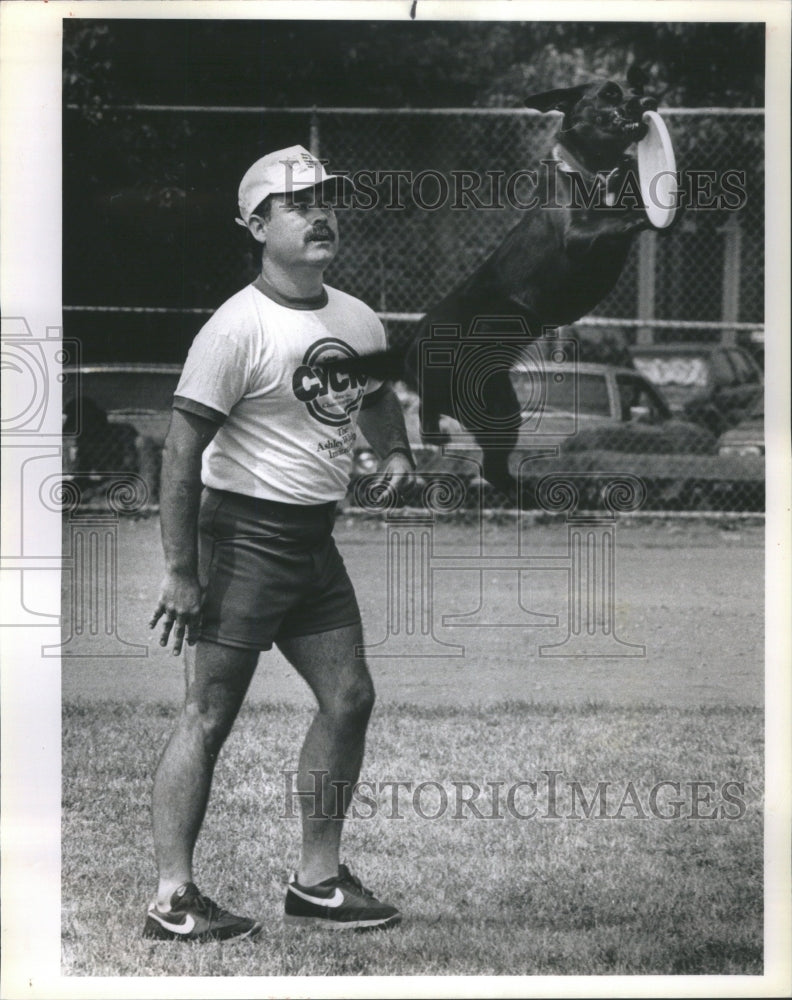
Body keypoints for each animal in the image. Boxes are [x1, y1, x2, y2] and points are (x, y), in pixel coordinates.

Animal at [336, 68, 664, 500]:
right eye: (610, 93)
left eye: (636, 88)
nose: (649, 101)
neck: (593, 168)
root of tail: (410, 342)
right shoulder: (575, 234)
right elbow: (614, 220)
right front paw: (647, 212)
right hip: (452, 386)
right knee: (427, 410)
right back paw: (438, 433)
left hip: (500, 407)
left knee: (492, 465)